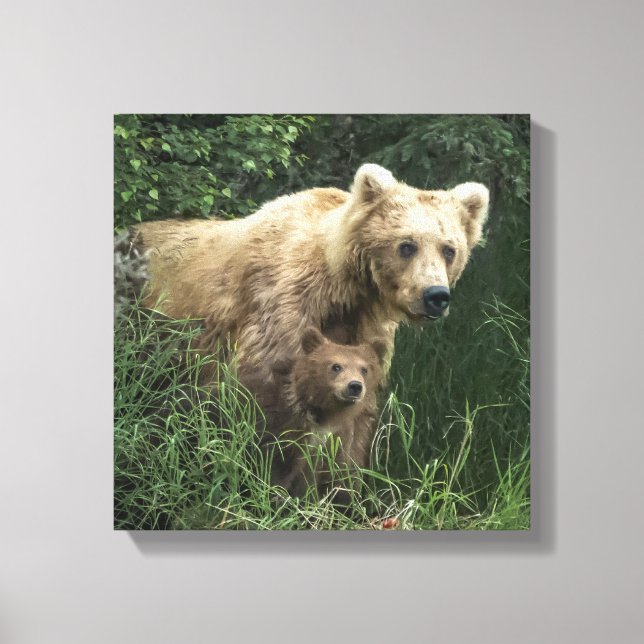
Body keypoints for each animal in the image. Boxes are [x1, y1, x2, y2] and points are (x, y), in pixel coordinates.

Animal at [132, 163, 489, 392]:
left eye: (449, 249)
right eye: (407, 245)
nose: (435, 295)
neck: (344, 287)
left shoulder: (361, 326)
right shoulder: (282, 309)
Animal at [238, 327, 388, 502]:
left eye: (364, 369)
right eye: (336, 366)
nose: (355, 386)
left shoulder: (320, 447)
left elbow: (308, 480)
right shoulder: (278, 429)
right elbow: (274, 471)